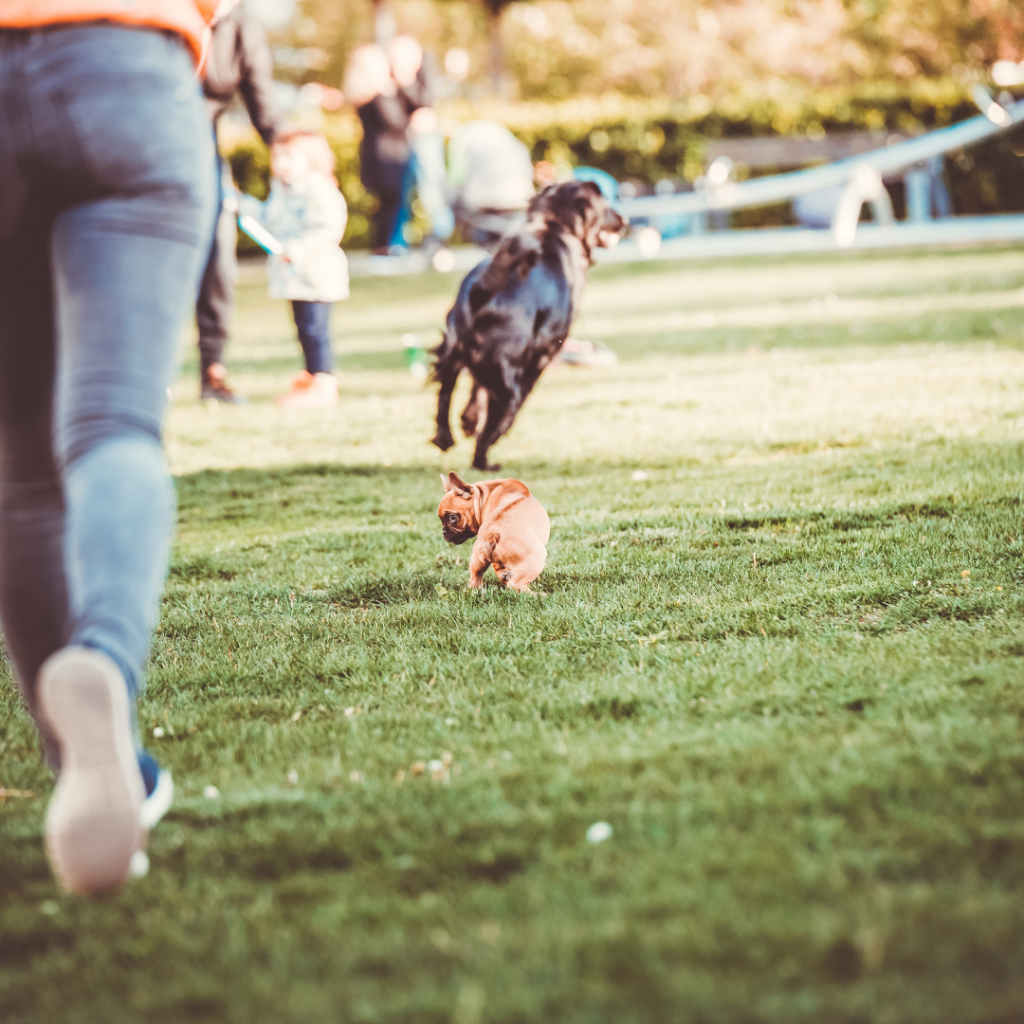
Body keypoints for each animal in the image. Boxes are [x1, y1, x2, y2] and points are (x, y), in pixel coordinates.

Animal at [428, 180, 618, 471]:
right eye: (606, 206)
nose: (624, 220)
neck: (553, 227)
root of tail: (482, 296)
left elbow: (474, 391)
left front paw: (468, 420)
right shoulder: (543, 355)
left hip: (451, 354)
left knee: (444, 396)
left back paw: (445, 438)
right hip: (509, 384)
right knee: (497, 424)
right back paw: (484, 462)